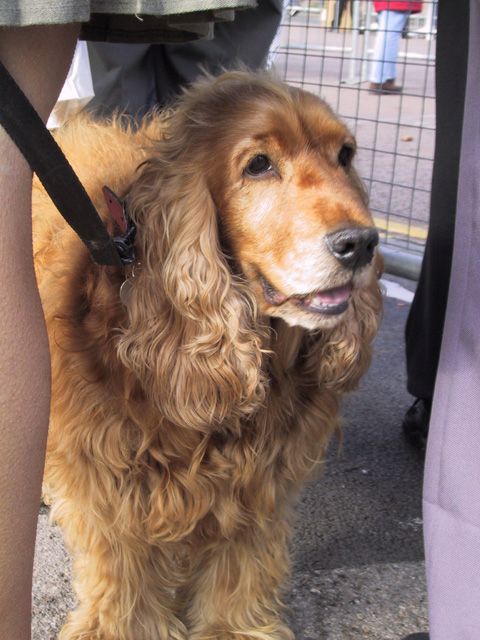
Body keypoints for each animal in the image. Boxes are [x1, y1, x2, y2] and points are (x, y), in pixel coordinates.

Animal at [34, 71, 382, 640]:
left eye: (345, 155)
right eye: (258, 164)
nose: (362, 243)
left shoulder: (260, 477)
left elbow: (243, 560)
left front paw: (234, 627)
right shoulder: (106, 474)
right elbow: (118, 564)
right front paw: (117, 626)